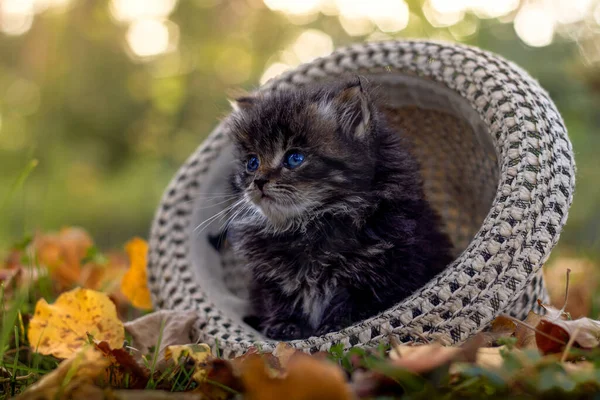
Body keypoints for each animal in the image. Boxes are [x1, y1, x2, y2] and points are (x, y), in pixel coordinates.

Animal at [227, 78, 452, 340]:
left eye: (294, 158)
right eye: (252, 163)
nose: (258, 181)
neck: (310, 224)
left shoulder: (390, 267)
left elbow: (358, 300)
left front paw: (336, 325)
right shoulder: (269, 279)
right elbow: (279, 301)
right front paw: (284, 326)